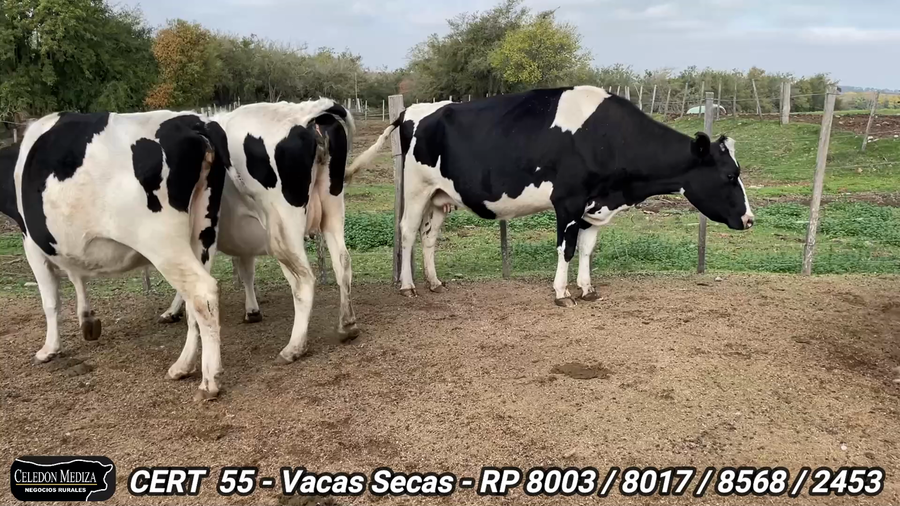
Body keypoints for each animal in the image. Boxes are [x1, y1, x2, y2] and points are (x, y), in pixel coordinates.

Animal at [1, 111, 229, 400]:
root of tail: (192, 121)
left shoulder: (31, 242)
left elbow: (50, 301)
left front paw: (49, 348)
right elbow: (77, 276)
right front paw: (87, 320)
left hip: (162, 241)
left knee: (202, 292)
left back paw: (209, 381)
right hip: (203, 232)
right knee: (194, 302)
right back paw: (183, 365)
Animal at [155, 100, 360, 364]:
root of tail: (307, 112)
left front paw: (172, 311)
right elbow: (245, 269)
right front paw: (252, 309)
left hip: (282, 229)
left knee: (304, 279)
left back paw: (294, 347)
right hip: (333, 209)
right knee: (342, 262)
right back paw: (347, 325)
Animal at [346, 86, 754, 306]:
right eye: (730, 174)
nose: (750, 219)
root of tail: (414, 109)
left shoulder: (595, 204)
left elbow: (587, 249)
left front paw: (587, 288)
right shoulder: (568, 202)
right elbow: (566, 249)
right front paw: (562, 292)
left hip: (440, 196)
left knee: (430, 237)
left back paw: (434, 282)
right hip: (416, 189)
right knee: (407, 233)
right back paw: (408, 286)